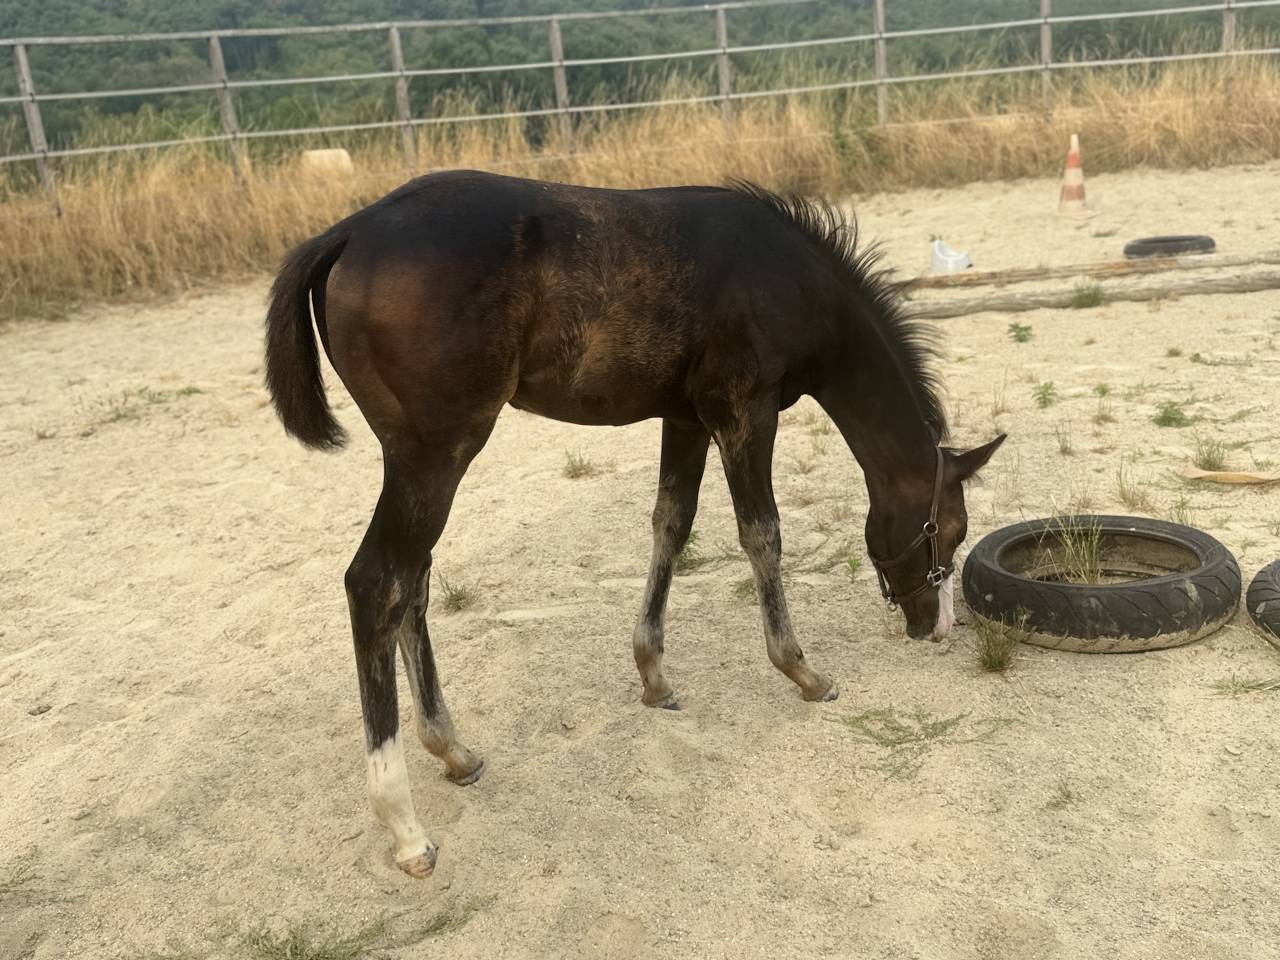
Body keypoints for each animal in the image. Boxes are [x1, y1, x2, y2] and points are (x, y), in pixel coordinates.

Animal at [264, 170, 1004, 878]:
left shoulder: (686, 417)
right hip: (435, 453)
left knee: (410, 585)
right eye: (949, 530)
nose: (935, 627)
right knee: (376, 583)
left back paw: (454, 750)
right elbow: (761, 534)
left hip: (420, 461)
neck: (791, 274)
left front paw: (654, 676)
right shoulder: (746, 411)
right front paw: (803, 672)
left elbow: (671, 524)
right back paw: (405, 827)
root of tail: (348, 232)